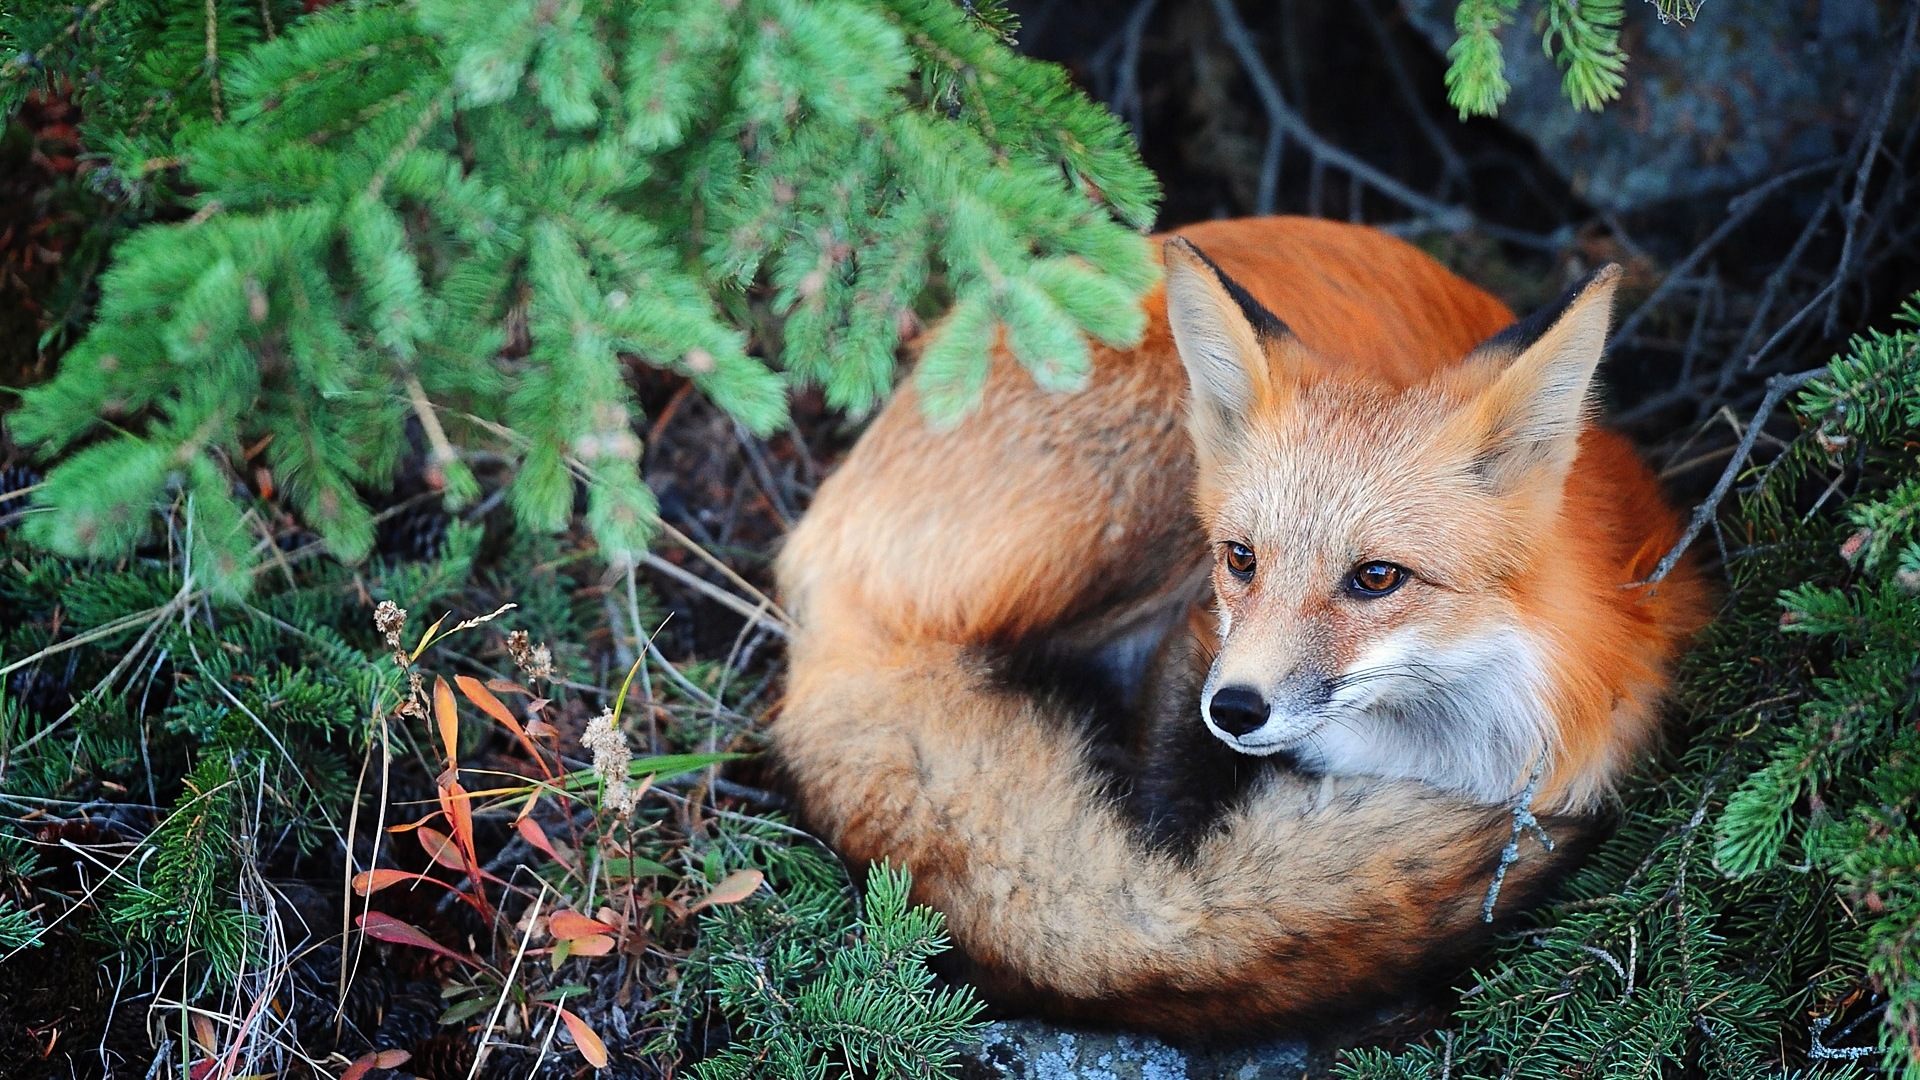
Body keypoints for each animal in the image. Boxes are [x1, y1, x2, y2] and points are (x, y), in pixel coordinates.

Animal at [773, 216, 1707, 1035]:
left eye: (1377, 577)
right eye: (1241, 558)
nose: (1237, 712)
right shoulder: (1198, 631)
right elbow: (1156, 894)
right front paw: (1162, 909)